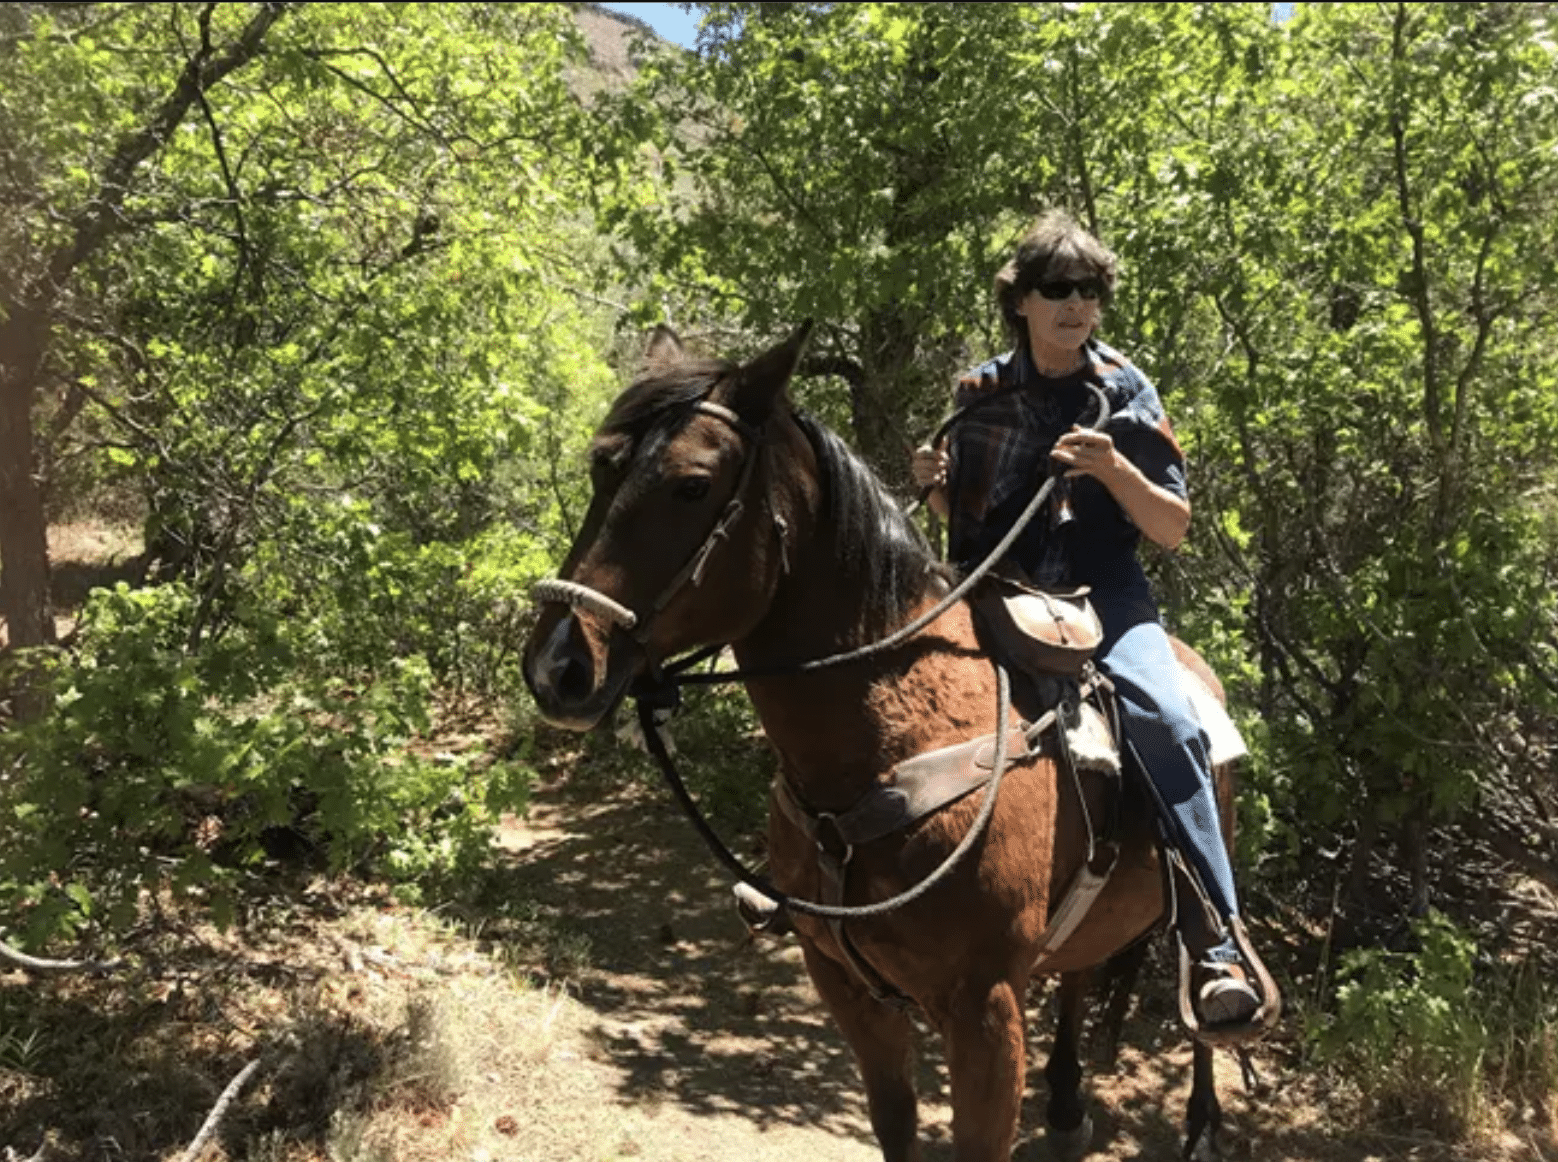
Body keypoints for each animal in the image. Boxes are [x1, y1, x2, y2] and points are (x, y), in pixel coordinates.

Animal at [529, 325, 1246, 1158]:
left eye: (692, 485)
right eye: (600, 465)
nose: (557, 665)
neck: (887, 746)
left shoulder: (985, 1014)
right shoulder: (848, 988)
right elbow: (895, 1124)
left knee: (1200, 993)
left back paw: (1202, 1110)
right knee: (1079, 970)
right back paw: (1068, 1104)